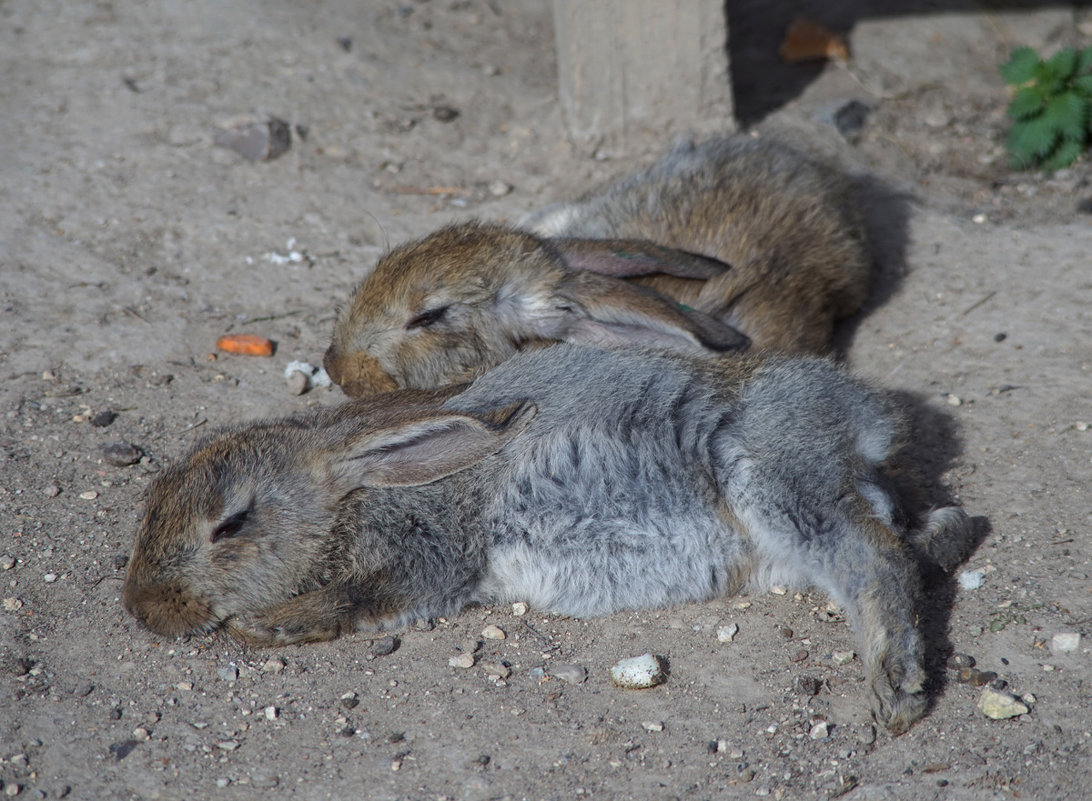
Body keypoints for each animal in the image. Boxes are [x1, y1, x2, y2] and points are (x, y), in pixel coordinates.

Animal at [125, 344, 974, 733]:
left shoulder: (424, 554)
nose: (144, 608)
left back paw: (894, 690)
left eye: (231, 523)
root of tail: (863, 421)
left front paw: (266, 623)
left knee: (875, 562)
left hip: (771, 482)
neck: (357, 489)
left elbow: (358, 596)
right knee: (916, 539)